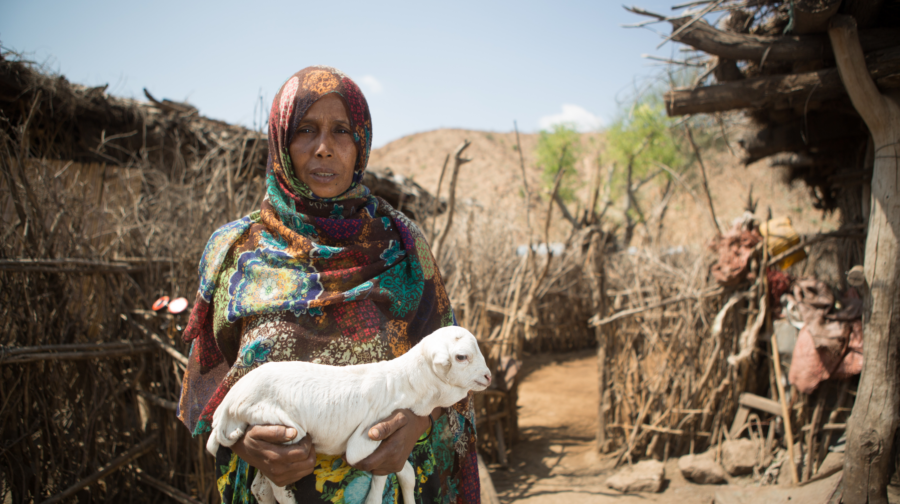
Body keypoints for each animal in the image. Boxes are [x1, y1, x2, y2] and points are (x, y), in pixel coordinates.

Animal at [205, 324, 492, 504]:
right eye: (462, 357)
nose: (489, 377)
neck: (408, 383)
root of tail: (226, 405)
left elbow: (407, 474)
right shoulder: (364, 442)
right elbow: (379, 477)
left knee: (259, 487)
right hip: (282, 428)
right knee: (277, 484)